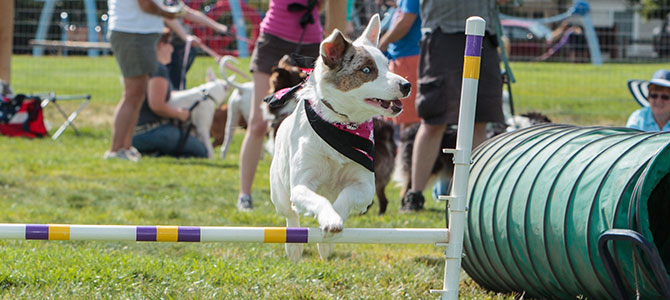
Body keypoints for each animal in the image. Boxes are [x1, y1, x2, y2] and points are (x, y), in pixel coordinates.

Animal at [270, 15, 412, 262]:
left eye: (387, 65)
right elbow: (318, 200)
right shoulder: (301, 184)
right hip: (279, 191)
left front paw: (331, 227)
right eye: (367, 69)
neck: (341, 123)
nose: (407, 85)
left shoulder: (365, 186)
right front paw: (329, 220)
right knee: (291, 215)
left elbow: (343, 199)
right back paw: (294, 247)